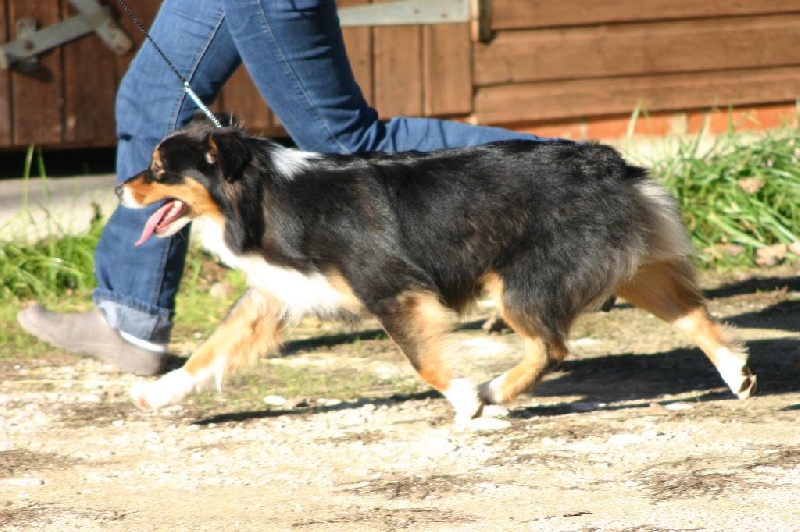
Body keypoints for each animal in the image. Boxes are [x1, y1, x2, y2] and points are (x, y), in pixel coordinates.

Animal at [119, 115, 756, 425]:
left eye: (158, 168)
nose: (122, 188)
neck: (264, 194)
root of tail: (605, 160)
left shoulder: (393, 291)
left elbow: (423, 361)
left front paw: (466, 399)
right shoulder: (273, 297)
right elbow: (210, 351)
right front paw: (157, 392)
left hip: (520, 284)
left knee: (550, 348)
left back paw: (495, 391)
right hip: (628, 265)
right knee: (692, 314)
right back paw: (735, 372)